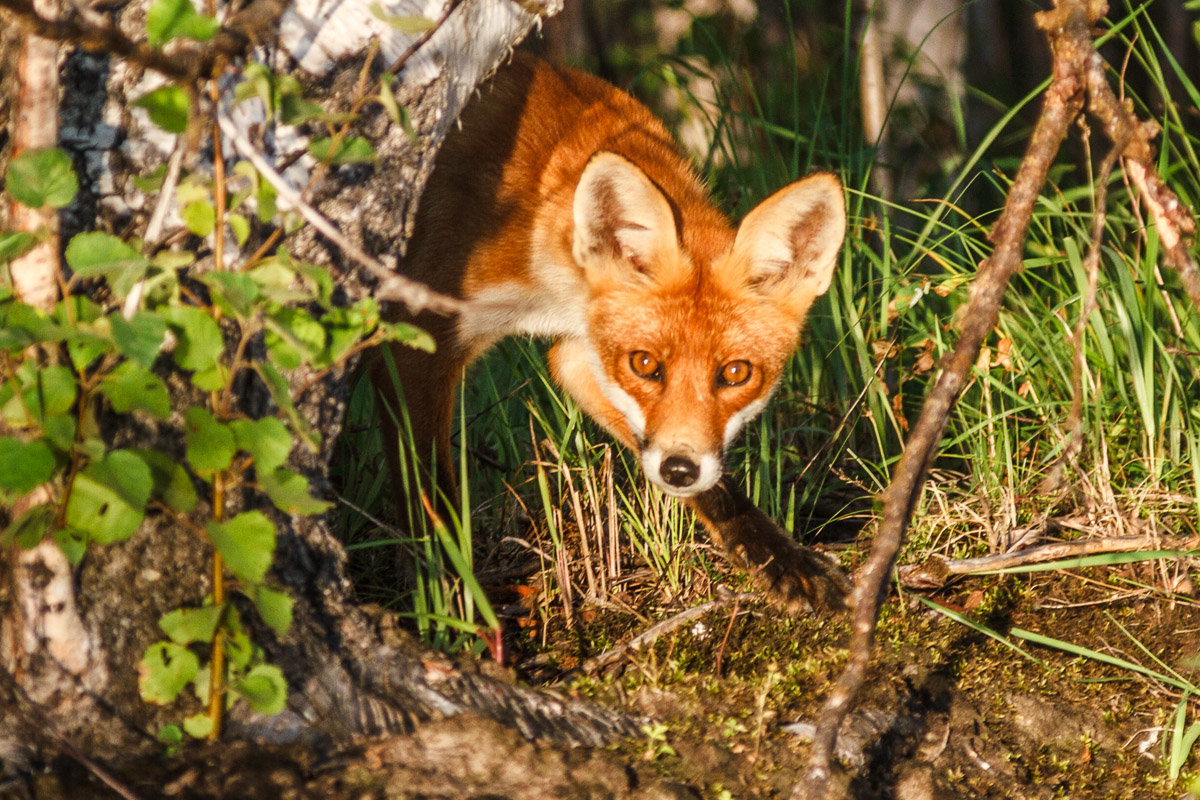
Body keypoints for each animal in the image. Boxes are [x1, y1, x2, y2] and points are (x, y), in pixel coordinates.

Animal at [374, 53, 854, 609]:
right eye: (646, 364)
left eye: (736, 373)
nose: (679, 470)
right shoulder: (414, 343)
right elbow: (432, 504)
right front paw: (451, 603)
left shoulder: (581, 354)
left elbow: (719, 490)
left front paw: (782, 558)